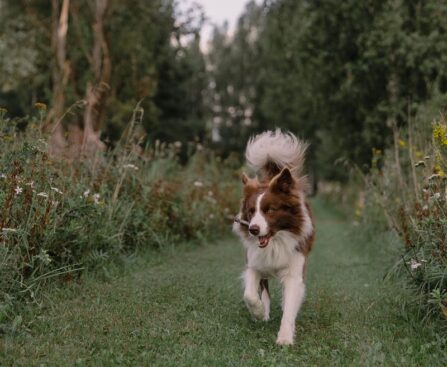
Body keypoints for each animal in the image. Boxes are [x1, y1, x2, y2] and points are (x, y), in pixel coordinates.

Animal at [233, 129, 316, 344]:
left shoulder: (296, 268)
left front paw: (285, 337)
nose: (253, 229)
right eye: (251, 211)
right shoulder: (253, 262)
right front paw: (258, 312)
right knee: (264, 288)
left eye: (270, 210)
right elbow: (249, 294)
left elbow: (290, 305)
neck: (275, 241)